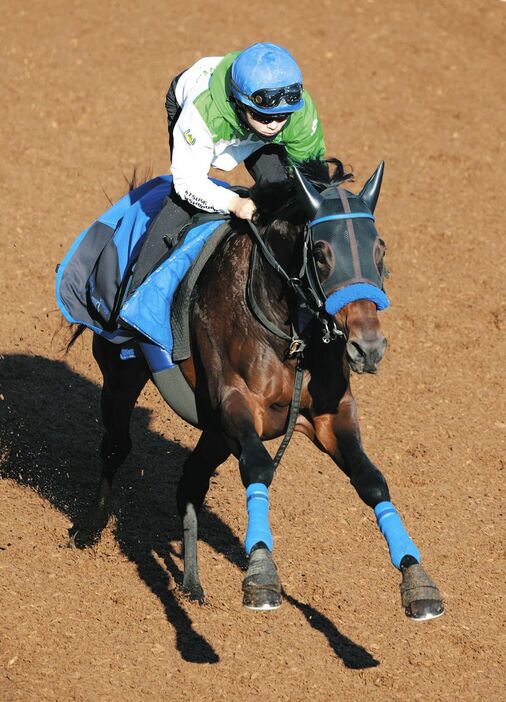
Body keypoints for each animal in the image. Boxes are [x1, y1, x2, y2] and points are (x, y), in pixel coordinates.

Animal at [67, 160, 442, 620]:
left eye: (380, 251)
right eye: (321, 253)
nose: (368, 347)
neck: (292, 337)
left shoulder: (329, 415)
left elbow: (372, 480)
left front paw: (417, 581)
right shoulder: (237, 404)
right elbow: (260, 468)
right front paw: (261, 574)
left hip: (214, 432)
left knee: (190, 483)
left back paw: (191, 583)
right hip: (122, 369)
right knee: (116, 445)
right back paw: (89, 529)